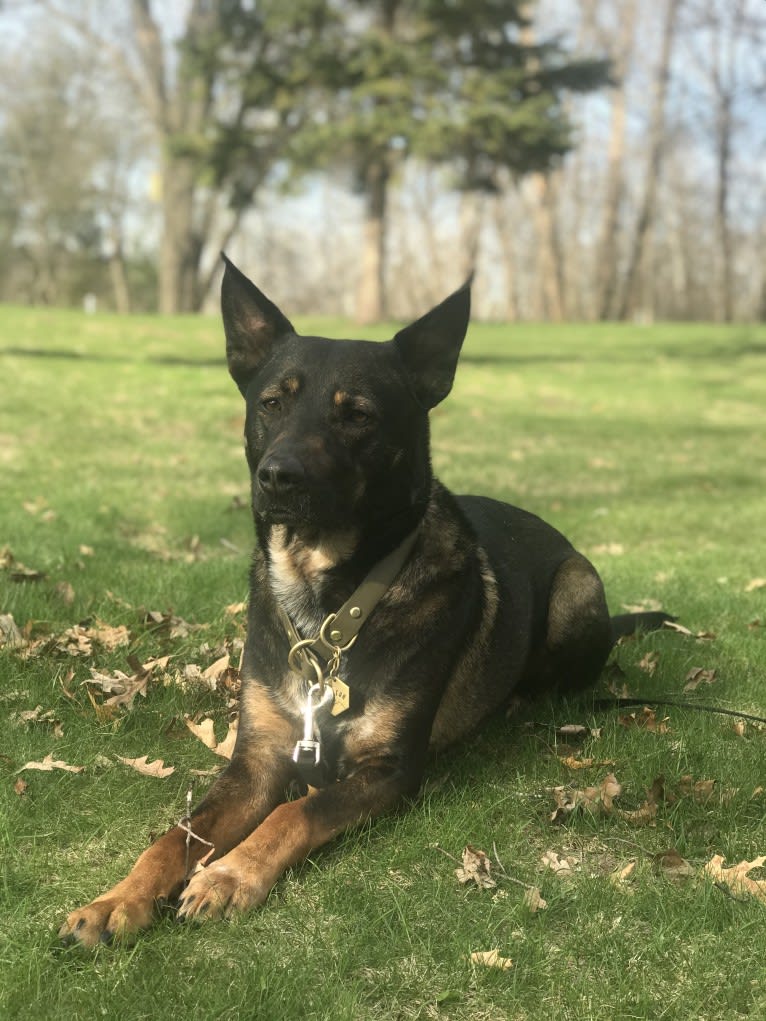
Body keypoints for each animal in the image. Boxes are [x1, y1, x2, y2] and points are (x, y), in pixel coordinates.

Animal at [60, 259, 669, 943]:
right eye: (271, 404)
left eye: (357, 415)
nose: (277, 478)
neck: (327, 606)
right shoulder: (257, 760)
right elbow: (177, 836)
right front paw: (118, 899)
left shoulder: (386, 770)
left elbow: (294, 814)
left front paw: (229, 875)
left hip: (576, 589)